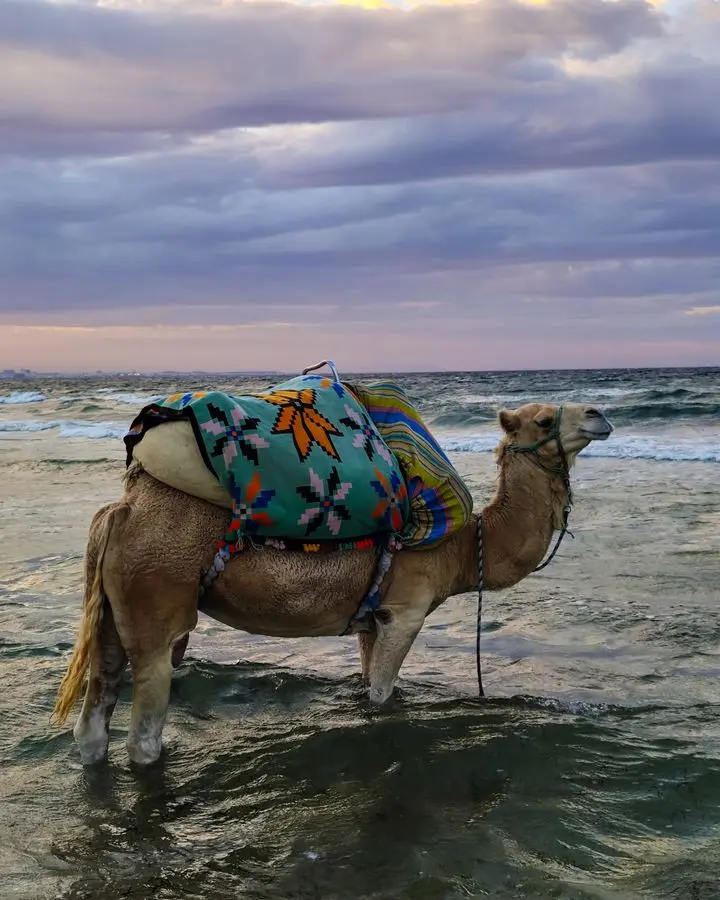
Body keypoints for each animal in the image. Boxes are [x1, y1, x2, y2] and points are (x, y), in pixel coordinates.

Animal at [53, 402, 612, 767]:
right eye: (544, 419)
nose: (599, 415)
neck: (462, 545)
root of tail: (121, 511)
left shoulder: (372, 618)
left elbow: (368, 681)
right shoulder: (404, 610)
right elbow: (382, 695)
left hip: (113, 609)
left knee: (93, 719)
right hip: (156, 594)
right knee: (144, 728)